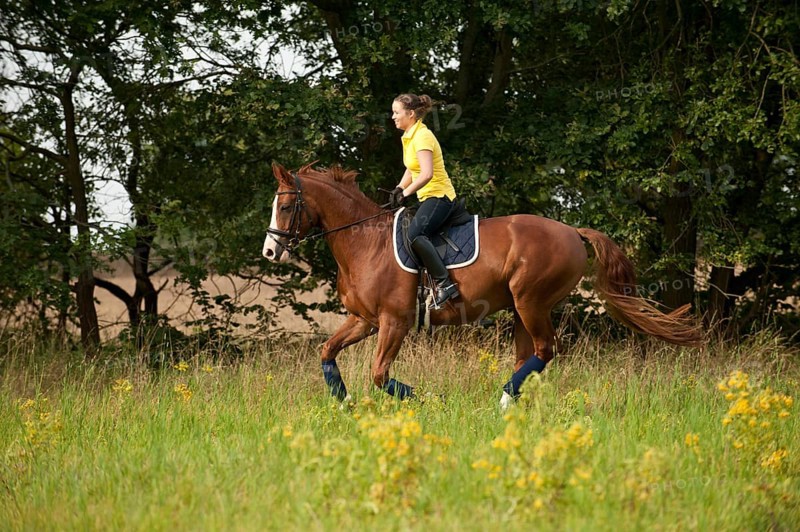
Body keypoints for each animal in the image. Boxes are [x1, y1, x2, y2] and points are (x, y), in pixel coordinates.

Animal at [262, 163, 702, 408]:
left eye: (285, 206)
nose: (269, 251)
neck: (365, 242)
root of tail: (572, 231)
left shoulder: (394, 322)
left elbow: (379, 374)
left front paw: (433, 401)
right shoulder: (364, 320)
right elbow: (327, 352)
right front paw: (344, 404)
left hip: (531, 302)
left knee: (546, 350)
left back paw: (504, 400)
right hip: (523, 309)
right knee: (531, 356)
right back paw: (512, 404)